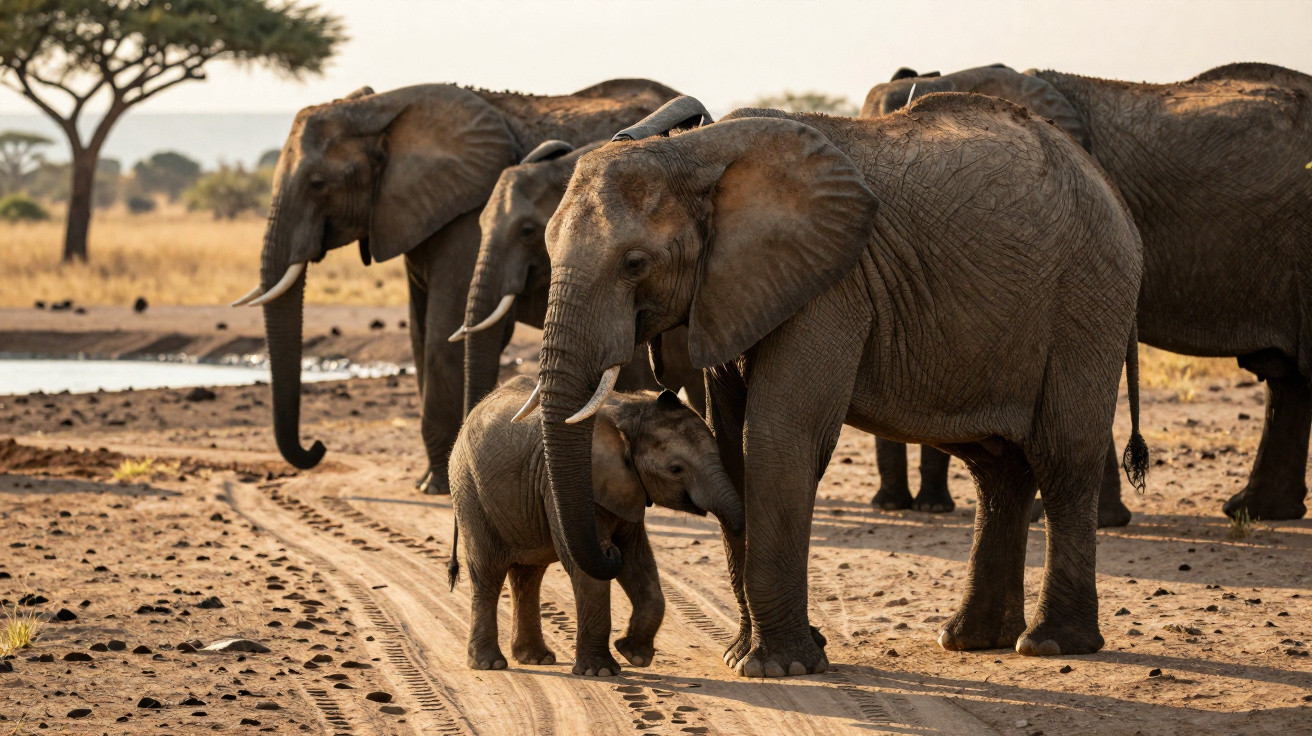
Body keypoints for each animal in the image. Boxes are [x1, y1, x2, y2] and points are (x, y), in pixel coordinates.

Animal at [446, 375, 744, 675]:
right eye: (676, 470)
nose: (609, 548)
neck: (630, 413)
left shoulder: (627, 487)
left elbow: (638, 560)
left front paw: (634, 655)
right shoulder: (563, 486)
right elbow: (586, 567)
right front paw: (600, 671)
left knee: (527, 576)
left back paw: (536, 658)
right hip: (469, 490)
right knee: (488, 573)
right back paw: (489, 664)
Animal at [527, 93, 1148, 677]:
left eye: (634, 263)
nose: (611, 549)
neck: (694, 152)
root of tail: (1112, 192)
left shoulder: (829, 287)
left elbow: (777, 436)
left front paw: (777, 667)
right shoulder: (731, 290)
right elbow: (731, 444)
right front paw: (746, 655)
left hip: (1088, 297)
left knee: (1063, 456)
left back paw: (1050, 644)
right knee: (997, 469)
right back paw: (970, 639)